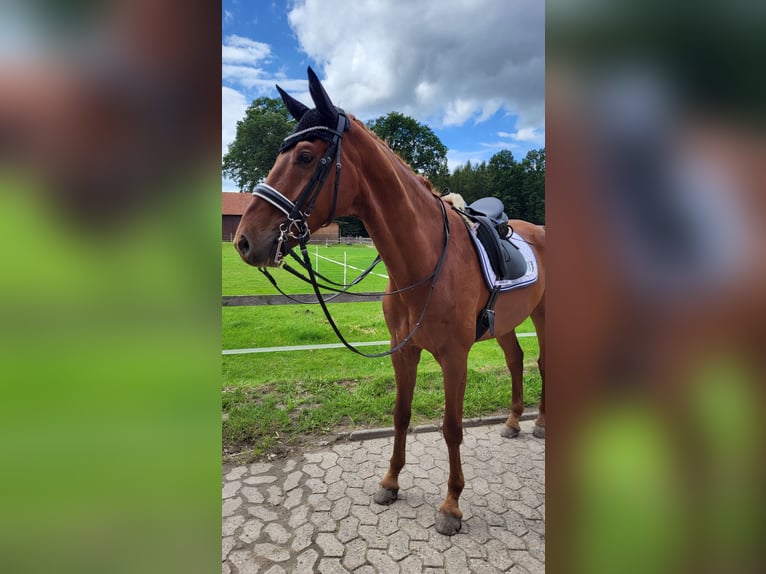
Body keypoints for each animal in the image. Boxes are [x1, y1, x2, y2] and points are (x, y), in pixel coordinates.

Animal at [233, 67, 545, 535]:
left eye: (305, 156)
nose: (244, 240)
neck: (426, 260)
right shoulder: (404, 350)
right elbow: (401, 413)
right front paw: (391, 482)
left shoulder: (455, 357)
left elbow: (452, 427)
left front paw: (451, 506)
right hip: (506, 323)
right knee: (516, 359)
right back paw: (512, 421)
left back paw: (539, 423)